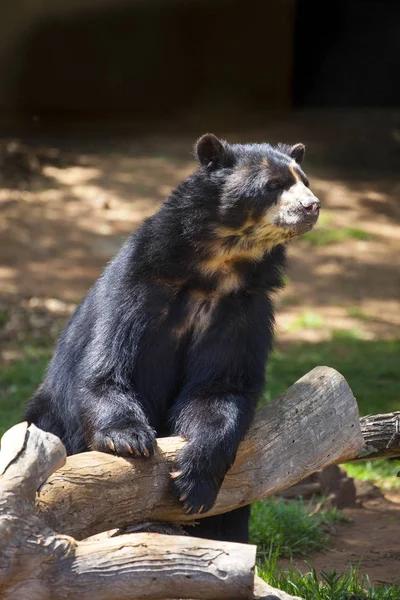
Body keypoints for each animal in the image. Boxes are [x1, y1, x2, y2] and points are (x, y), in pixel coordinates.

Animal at [24, 136, 318, 544]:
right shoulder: (140, 284)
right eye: (273, 185)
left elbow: (219, 387)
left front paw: (194, 482)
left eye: (304, 180)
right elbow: (107, 369)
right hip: (50, 416)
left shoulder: (242, 308)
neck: (218, 264)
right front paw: (129, 440)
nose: (312, 206)